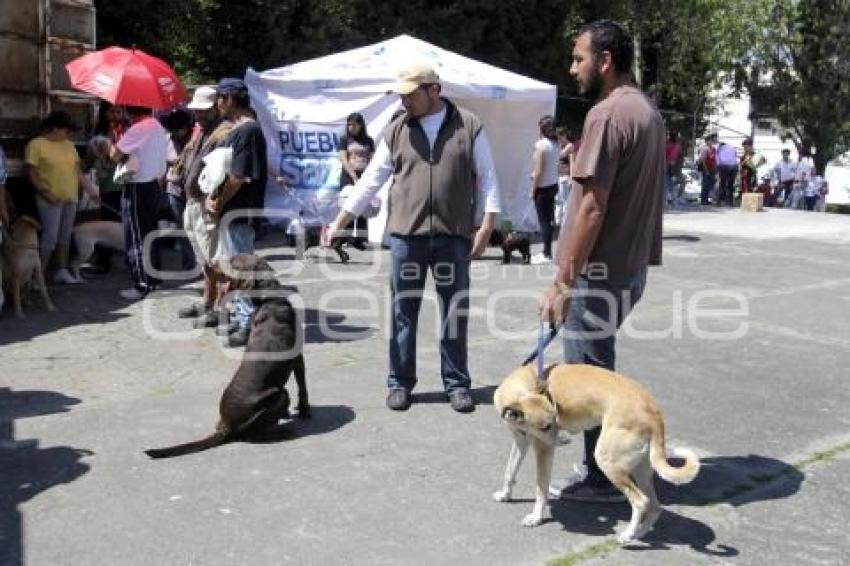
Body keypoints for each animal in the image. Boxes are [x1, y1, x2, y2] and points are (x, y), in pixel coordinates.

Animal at [145, 255, 308, 460]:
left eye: (234, 262)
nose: (210, 264)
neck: (269, 298)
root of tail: (227, 426)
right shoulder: (298, 358)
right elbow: (303, 387)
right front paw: (304, 410)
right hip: (277, 395)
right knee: (253, 435)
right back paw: (282, 432)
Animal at [494, 364, 700, 544]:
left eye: (556, 420)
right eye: (545, 426)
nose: (566, 440)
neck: (524, 388)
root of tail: (654, 413)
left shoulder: (543, 450)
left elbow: (540, 488)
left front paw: (536, 517)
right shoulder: (520, 441)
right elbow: (509, 471)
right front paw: (505, 494)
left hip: (608, 462)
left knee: (641, 502)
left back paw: (628, 535)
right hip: (641, 469)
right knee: (655, 507)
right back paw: (638, 534)